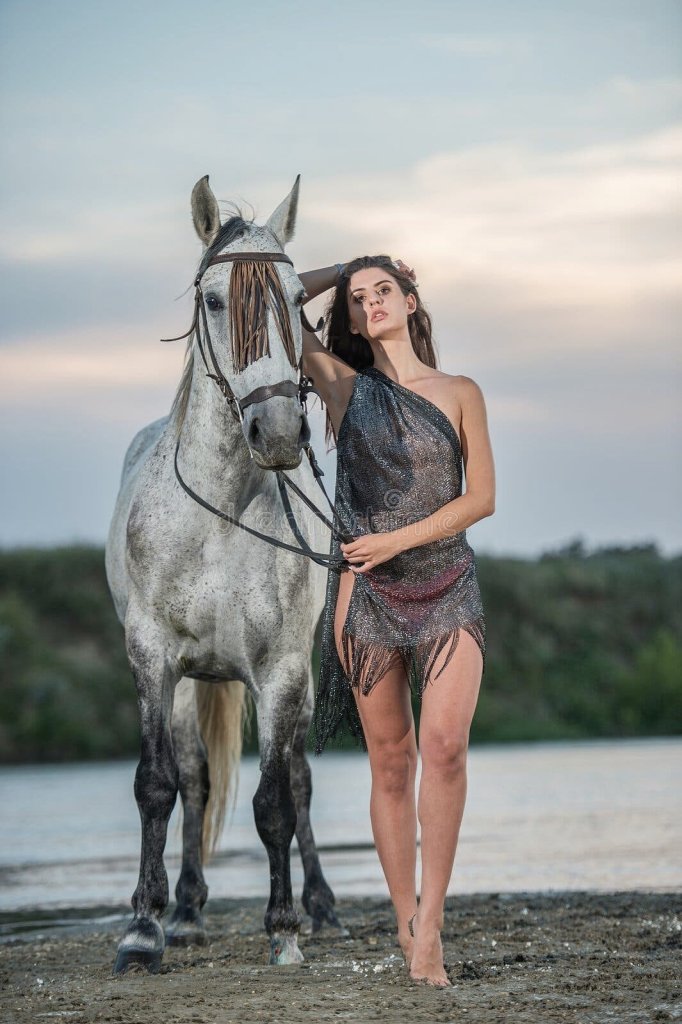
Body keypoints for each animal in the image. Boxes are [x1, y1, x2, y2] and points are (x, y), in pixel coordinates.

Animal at [105, 174, 344, 974]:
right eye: (214, 300)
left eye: (298, 297)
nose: (279, 433)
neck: (216, 515)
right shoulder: (152, 657)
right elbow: (159, 786)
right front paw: (143, 929)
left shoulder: (280, 670)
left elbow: (276, 801)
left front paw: (284, 926)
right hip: (187, 683)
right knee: (195, 779)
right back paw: (184, 911)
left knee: (297, 779)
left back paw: (321, 907)